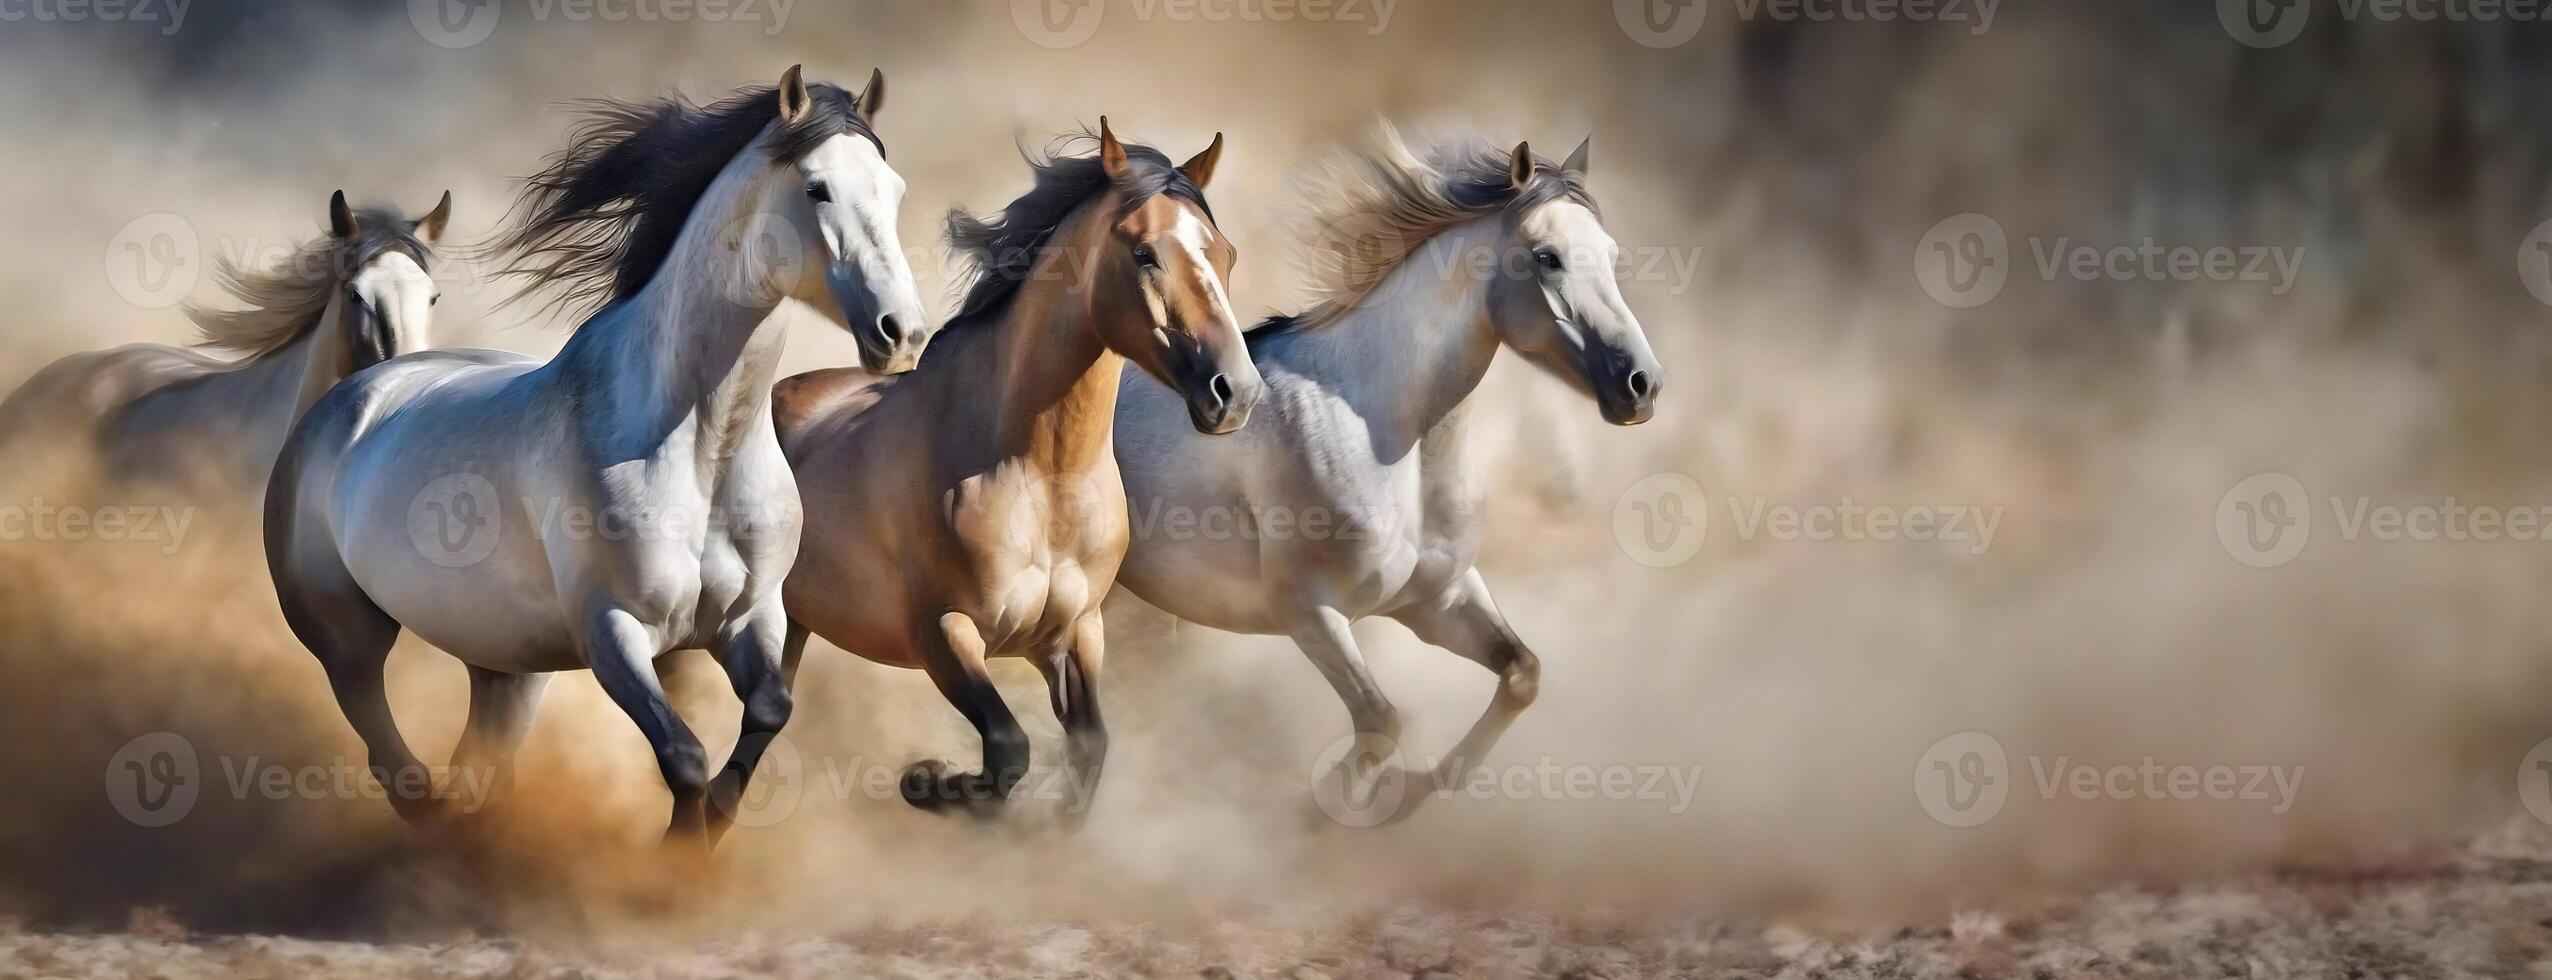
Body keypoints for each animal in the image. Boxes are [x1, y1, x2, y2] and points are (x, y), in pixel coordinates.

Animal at [264, 66, 939, 842]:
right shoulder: (613, 634)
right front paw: (679, 851)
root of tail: (350, 397)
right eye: (817, 187)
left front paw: (714, 826)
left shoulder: (753, 616)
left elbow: (769, 712)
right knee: (393, 756)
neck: (698, 449)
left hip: (505, 663)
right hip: (347, 635)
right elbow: (682, 753)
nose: (902, 334)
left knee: (477, 760)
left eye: (894, 189)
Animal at [1107, 128, 1663, 816]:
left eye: (1611, 255)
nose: (1642, 385)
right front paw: (1320, 814)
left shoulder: (1436, 600)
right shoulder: (1311, 614)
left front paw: (1409, 794)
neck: (1384, 430)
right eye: (1548, 257)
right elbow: (1381, 720)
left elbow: (1521, 675)